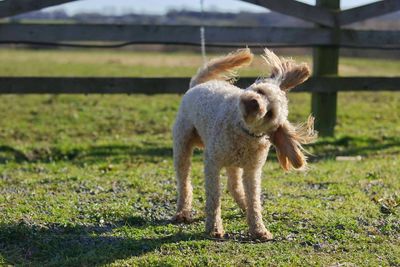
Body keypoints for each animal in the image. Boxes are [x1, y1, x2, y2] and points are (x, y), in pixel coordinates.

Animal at [171, 47, 316, 241]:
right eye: (261, 91)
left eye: (270, 113)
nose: (254, 102)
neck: (241, 129)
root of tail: (197, 84)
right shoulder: (212, 162)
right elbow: (214, 198)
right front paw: (214, 228)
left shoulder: (252, 170)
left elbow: (254, 199)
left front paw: (258, 229)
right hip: (182, 145)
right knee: (184, 181)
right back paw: (183, 212)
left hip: (233, 163)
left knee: (233, 186)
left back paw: (243, 205)